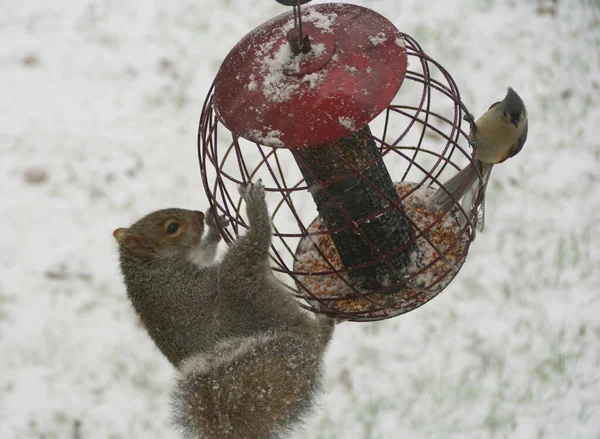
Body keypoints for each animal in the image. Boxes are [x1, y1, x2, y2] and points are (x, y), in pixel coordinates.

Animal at [113, 182, 338, 439]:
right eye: (172, 227)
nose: (199, 215)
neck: (148, 267)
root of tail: (308, 346)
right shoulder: (182, 282)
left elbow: (206, 251)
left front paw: (214, 225)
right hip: (242, 285)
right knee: (252, 246)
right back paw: (256, 208)